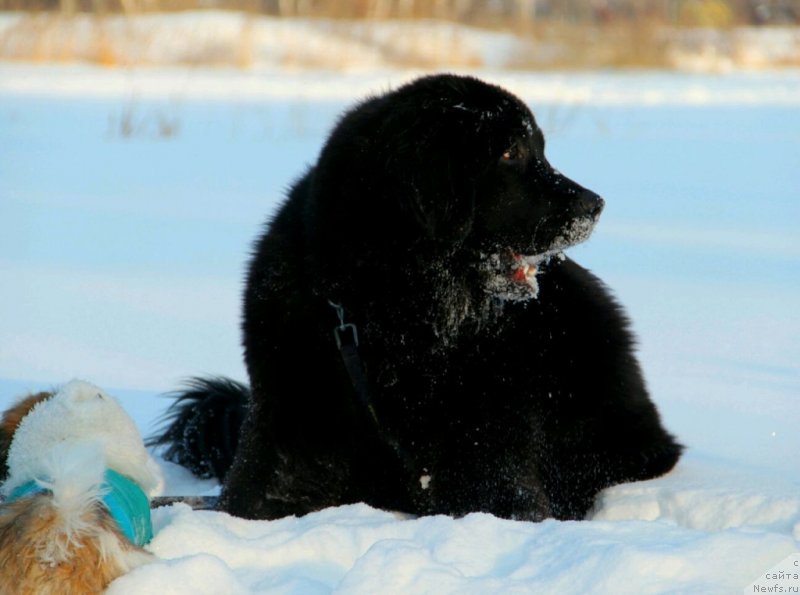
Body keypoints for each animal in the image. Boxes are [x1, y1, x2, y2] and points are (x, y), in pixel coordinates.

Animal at [155, 73, 680, 520]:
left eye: (539, 152)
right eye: (510, 154)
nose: (596, 204)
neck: (387, 302)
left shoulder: (484, 437)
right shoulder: (290, 414)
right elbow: (253, 495)